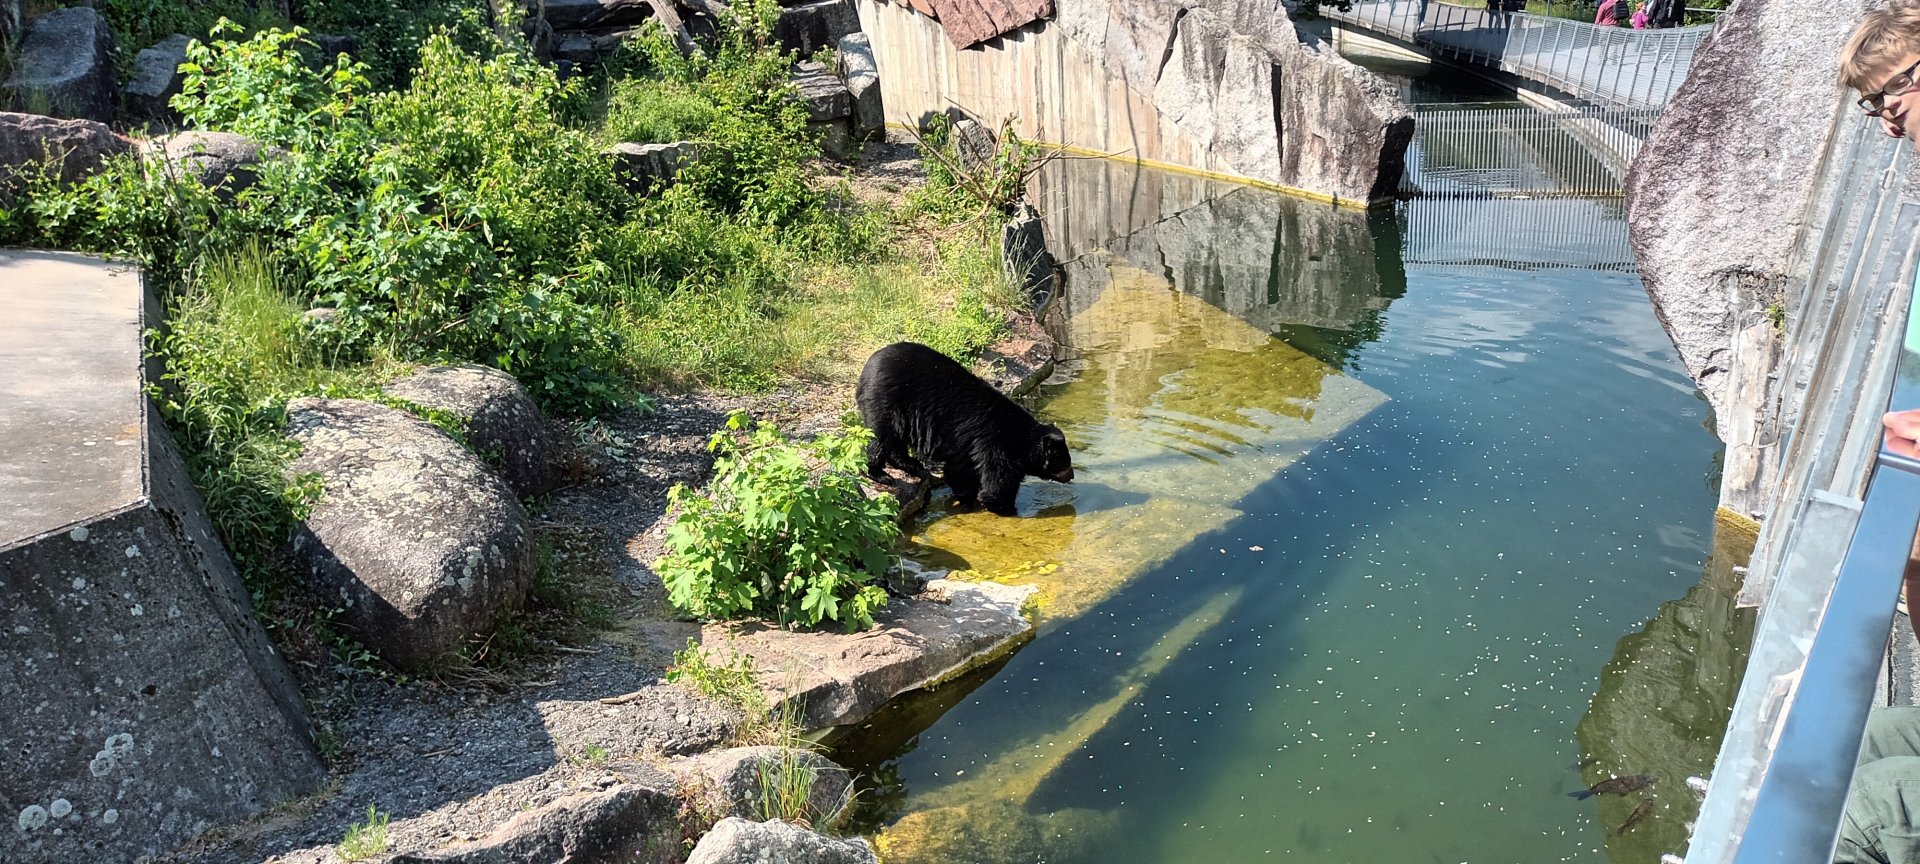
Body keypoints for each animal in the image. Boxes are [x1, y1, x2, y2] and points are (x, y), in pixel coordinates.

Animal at [856, 342, 1074, 516]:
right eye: (1064, 462)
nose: (1071, 475)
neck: (1021, 438)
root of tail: (868, 366)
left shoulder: (967, 446)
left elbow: (959, 470)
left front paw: (965, 498)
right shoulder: (995, 443)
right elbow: (997, 482)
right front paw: (1007, 508)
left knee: (895, 439)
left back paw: (910, 463)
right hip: (888, 401)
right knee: (880, 436)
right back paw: (880, 474)